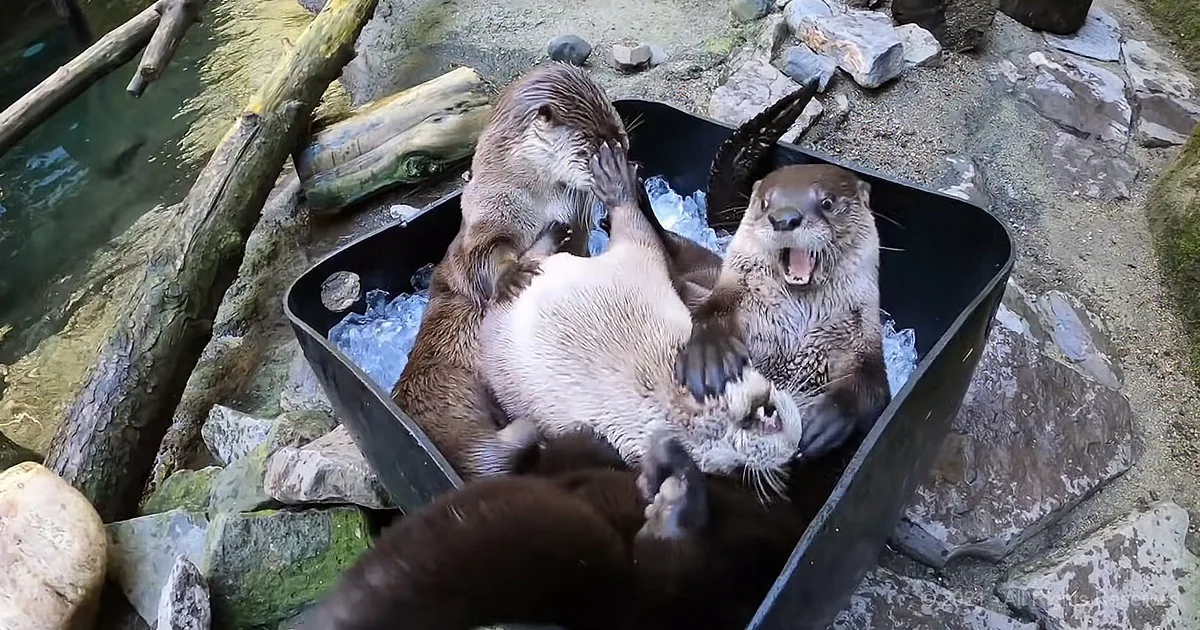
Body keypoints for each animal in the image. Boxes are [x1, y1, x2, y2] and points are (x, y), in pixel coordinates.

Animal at [390, 62, 629, 479]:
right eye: (593, 142)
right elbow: (483, 257)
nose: (624, 148)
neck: (537, 201)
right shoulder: (486, 219)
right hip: (447, 388)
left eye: (616, 124)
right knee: (486, 454)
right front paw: (512, 275)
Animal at [676, 163, 891, 459]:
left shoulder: (862, 335)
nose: (783, 218)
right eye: (765, 203)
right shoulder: (728, 298)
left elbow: (873, 389)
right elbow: (709, 315)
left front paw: (828, 419)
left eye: (827, 202)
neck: (795, 334)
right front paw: (710, 356)